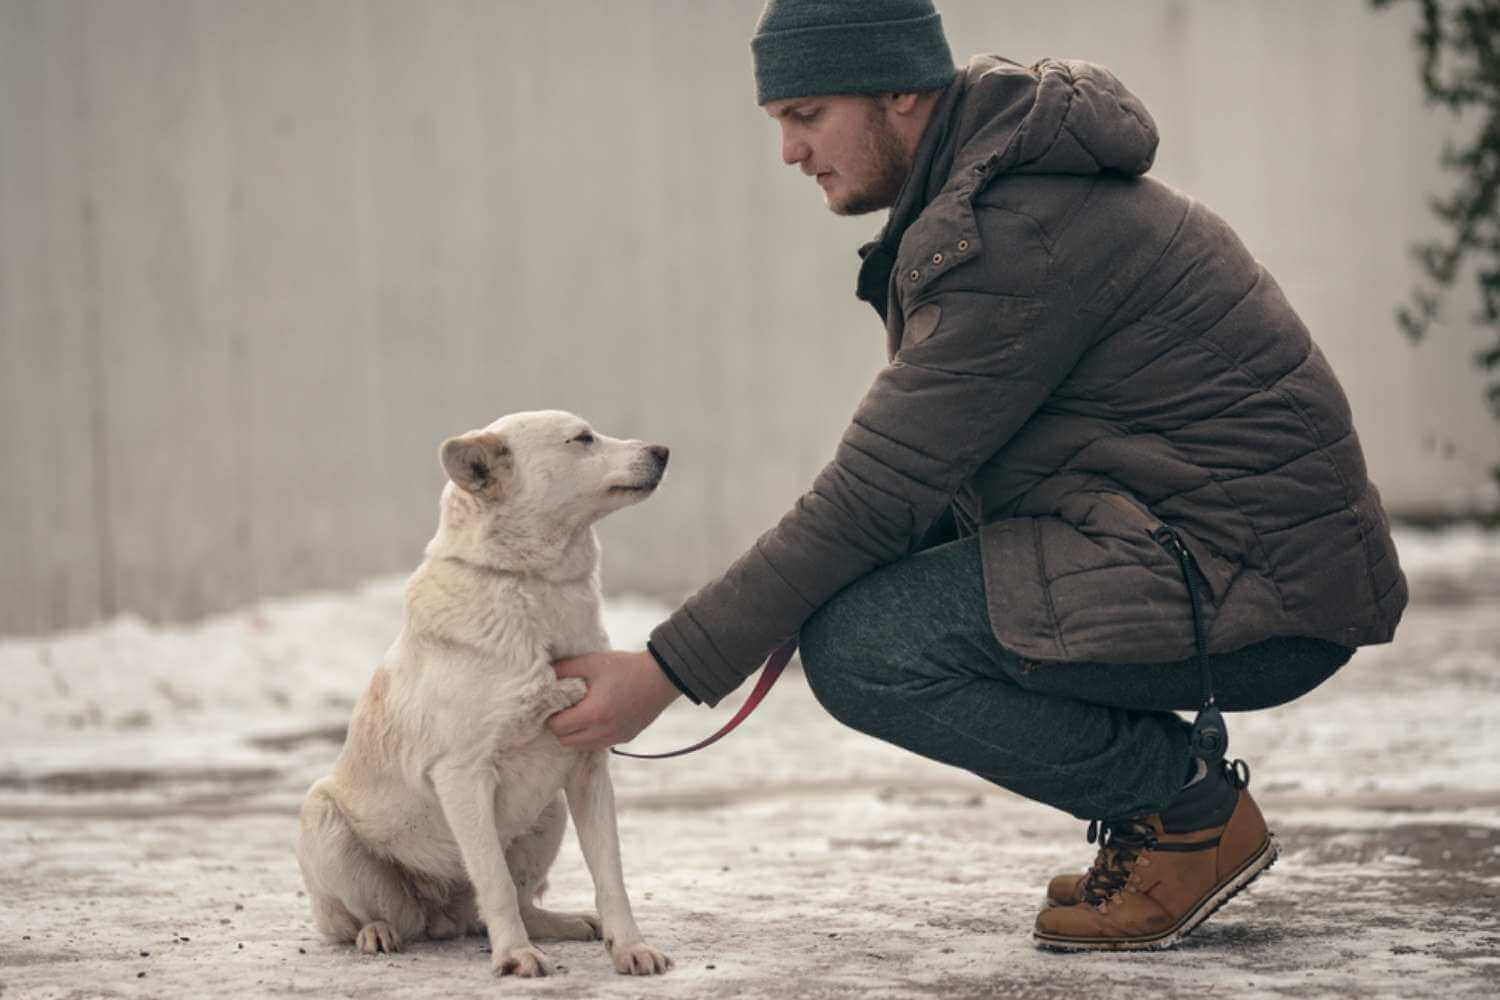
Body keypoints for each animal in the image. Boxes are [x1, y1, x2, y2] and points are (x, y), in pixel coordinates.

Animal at [298, 407, 675, 977]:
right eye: (582, 439)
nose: (663, 451)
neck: (534, 587)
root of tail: (442, 915)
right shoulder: (463, 776)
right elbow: (493, 882)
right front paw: (515, 956)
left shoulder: (588, 769)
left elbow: (610, 876)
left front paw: (629, 947)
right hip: (322, 820)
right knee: (366, 921)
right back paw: (377, 932)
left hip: (550, 810)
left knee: (514, 903)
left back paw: (560, 923)